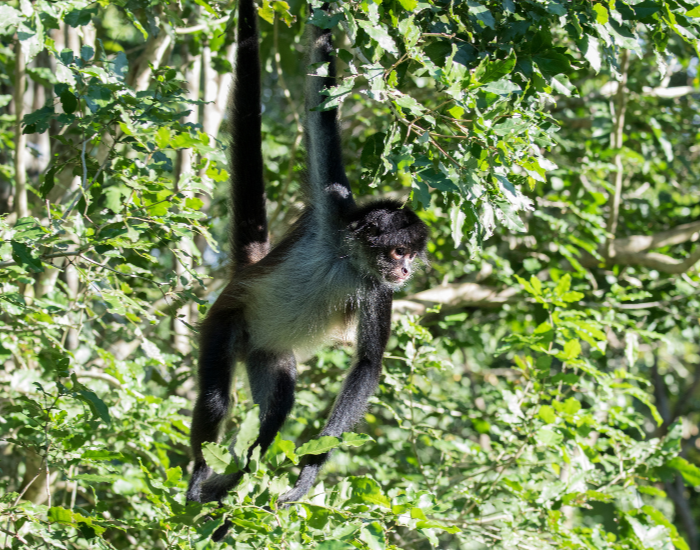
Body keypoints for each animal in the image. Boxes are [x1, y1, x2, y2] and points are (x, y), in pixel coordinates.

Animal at [186, 0, 429, 524]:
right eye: (398, 251)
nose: (405, 272)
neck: (346, 257)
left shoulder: (376, 287)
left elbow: (367, 365)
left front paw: (309, 473)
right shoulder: (331, 205)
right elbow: (321, 93)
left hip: (268, 354)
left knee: (277, 406)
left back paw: (235, 484)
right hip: (227, 321)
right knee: (215, 399)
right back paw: (201, 478)